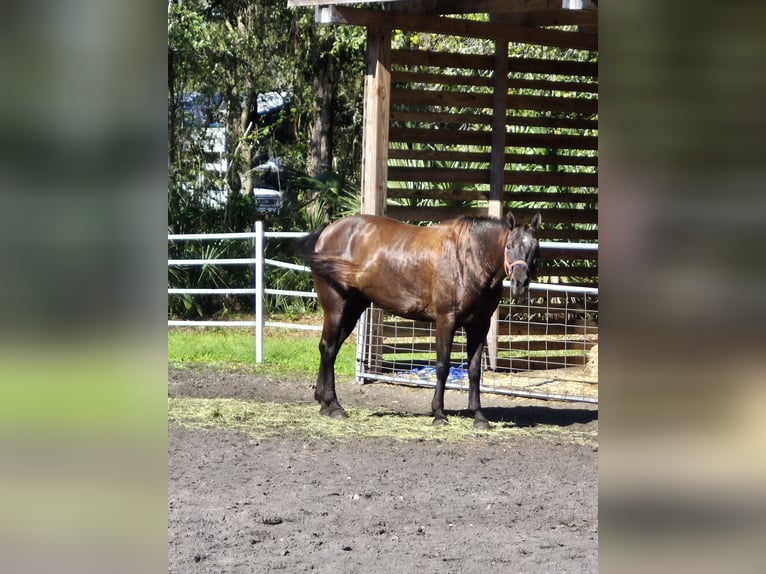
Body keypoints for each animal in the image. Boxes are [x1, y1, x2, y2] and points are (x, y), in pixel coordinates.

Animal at [296, 211, 541, 429]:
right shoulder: (446, 320)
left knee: (330, 349)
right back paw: (334, 406)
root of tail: (327, 232)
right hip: (336, 308)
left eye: (534, 248)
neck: (468, 257)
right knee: (328, 349)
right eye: (509, 246)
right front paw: (439, 414)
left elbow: (473, 370)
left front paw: (479, 417)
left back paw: (324, 403)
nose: (520, 282)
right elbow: (442, 366)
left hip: (353, 309)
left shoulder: (479, 325)